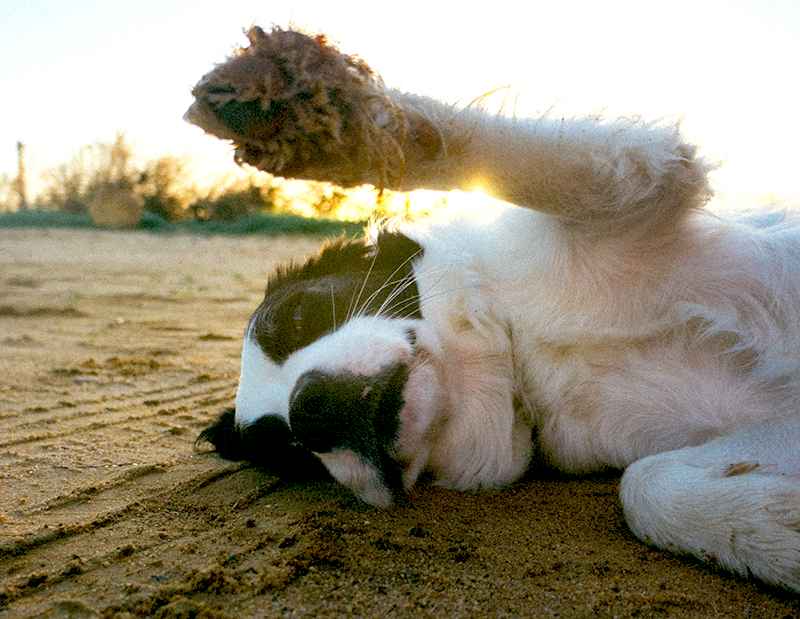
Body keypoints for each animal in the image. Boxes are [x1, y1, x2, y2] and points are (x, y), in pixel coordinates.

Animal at [184, 26, 800, 592]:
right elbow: (643, 484)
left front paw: (321, 116)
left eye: (297, 316)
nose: (310, 409)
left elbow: (491, 155)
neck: (520, 350)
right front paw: (776, 533)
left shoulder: (636, 189)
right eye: (286, 448)